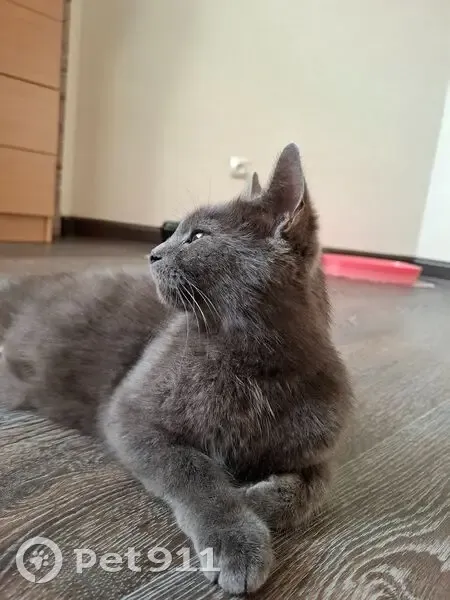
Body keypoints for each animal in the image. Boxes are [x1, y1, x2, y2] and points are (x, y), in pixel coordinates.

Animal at [0, 143, 353, 595]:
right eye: (176, 232)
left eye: (197, 236)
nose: (152, 253)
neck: (250, 365)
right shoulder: (130, 414)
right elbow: (194, 471)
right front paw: (235, 533)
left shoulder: (319, 447)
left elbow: (316, 488)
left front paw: (252, 500)